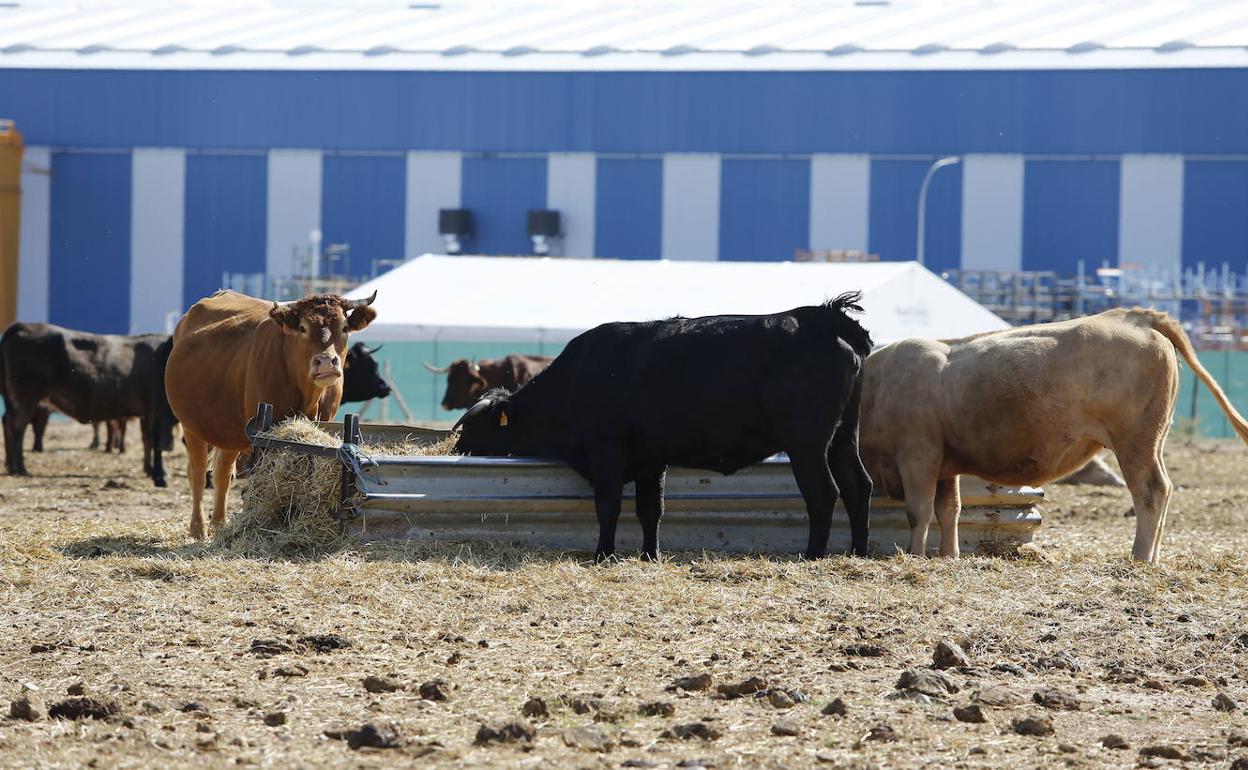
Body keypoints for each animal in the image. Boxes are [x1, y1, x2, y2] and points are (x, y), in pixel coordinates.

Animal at [1, 321, 178, 484]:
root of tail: (22, 325)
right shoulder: (157, 409)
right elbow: (156, 442)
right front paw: (159, 475)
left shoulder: (147, 412)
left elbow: (147, 440)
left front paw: (149, 469)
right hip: (26, 397)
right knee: (17, 427)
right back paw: (20, 468)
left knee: (8, 423)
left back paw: (11, 466)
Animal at [167, 290, 379, 536]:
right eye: (303, 328)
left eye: (344, 327)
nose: (326, 362)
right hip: (191, 427)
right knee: (198, 473)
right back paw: (198, 529)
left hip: (228, 430)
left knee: (222, 474)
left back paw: (219, 525)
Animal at [454, 293, 873, 559]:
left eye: (474, 428)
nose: (457, 451)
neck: (576, 377)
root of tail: (820, 316)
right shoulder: (651, 459)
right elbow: (650, 508)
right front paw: (649, 555)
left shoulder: (607, 450)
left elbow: (608, 504)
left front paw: (604, 554)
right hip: (842, 437)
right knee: (858, 486)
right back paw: (858, 551)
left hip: (807, 444)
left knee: (824, 493)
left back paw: (813, 555)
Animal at [858, 308, 1248, 564]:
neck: (875, 386)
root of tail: (1131, 317)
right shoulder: (945, 463)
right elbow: (949, 510)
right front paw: (948, 556)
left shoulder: (918, 455)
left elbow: (919, 511)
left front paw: (915, 555)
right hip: (1154, 441)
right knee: (1163, 489)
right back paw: (1152, 556)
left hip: (1135, 442)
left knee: (1150, 491)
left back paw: (1139, 557)